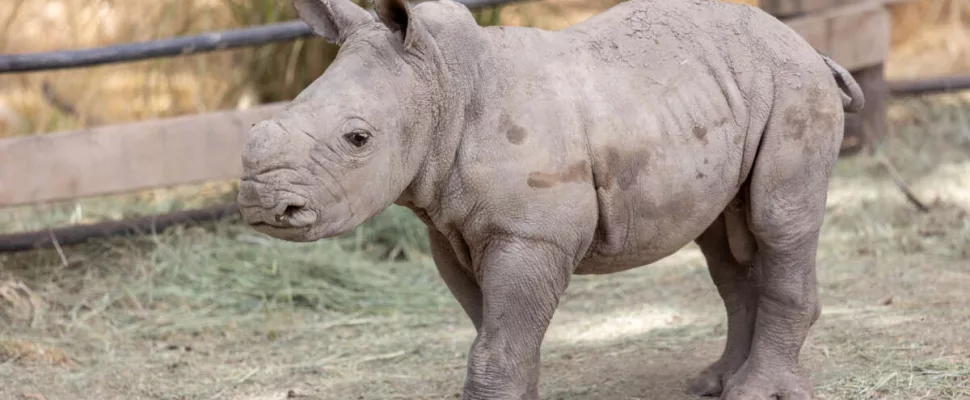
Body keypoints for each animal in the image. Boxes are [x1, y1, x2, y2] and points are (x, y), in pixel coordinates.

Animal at [237, 0, 864, 398]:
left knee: (778, 223)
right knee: (724, 246)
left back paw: (753, 391)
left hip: (792, 87)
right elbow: (497, 335)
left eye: (357, 139)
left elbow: (496, 346)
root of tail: (808, 46)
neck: (443, 83)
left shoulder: (530, 234)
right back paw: (713, 383)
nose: (263, 205)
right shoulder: (451, 232)